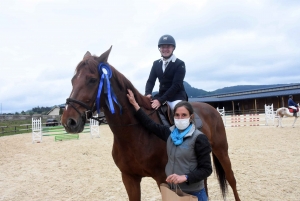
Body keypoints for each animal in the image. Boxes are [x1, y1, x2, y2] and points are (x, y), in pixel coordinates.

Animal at [61, 47, 241, 201]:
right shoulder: (129, 178)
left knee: (231, 179)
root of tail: (212, 108)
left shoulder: (163, 178)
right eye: (72, 80)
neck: (134, 133)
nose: (69, 121)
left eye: (92, 80)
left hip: (221, 150)